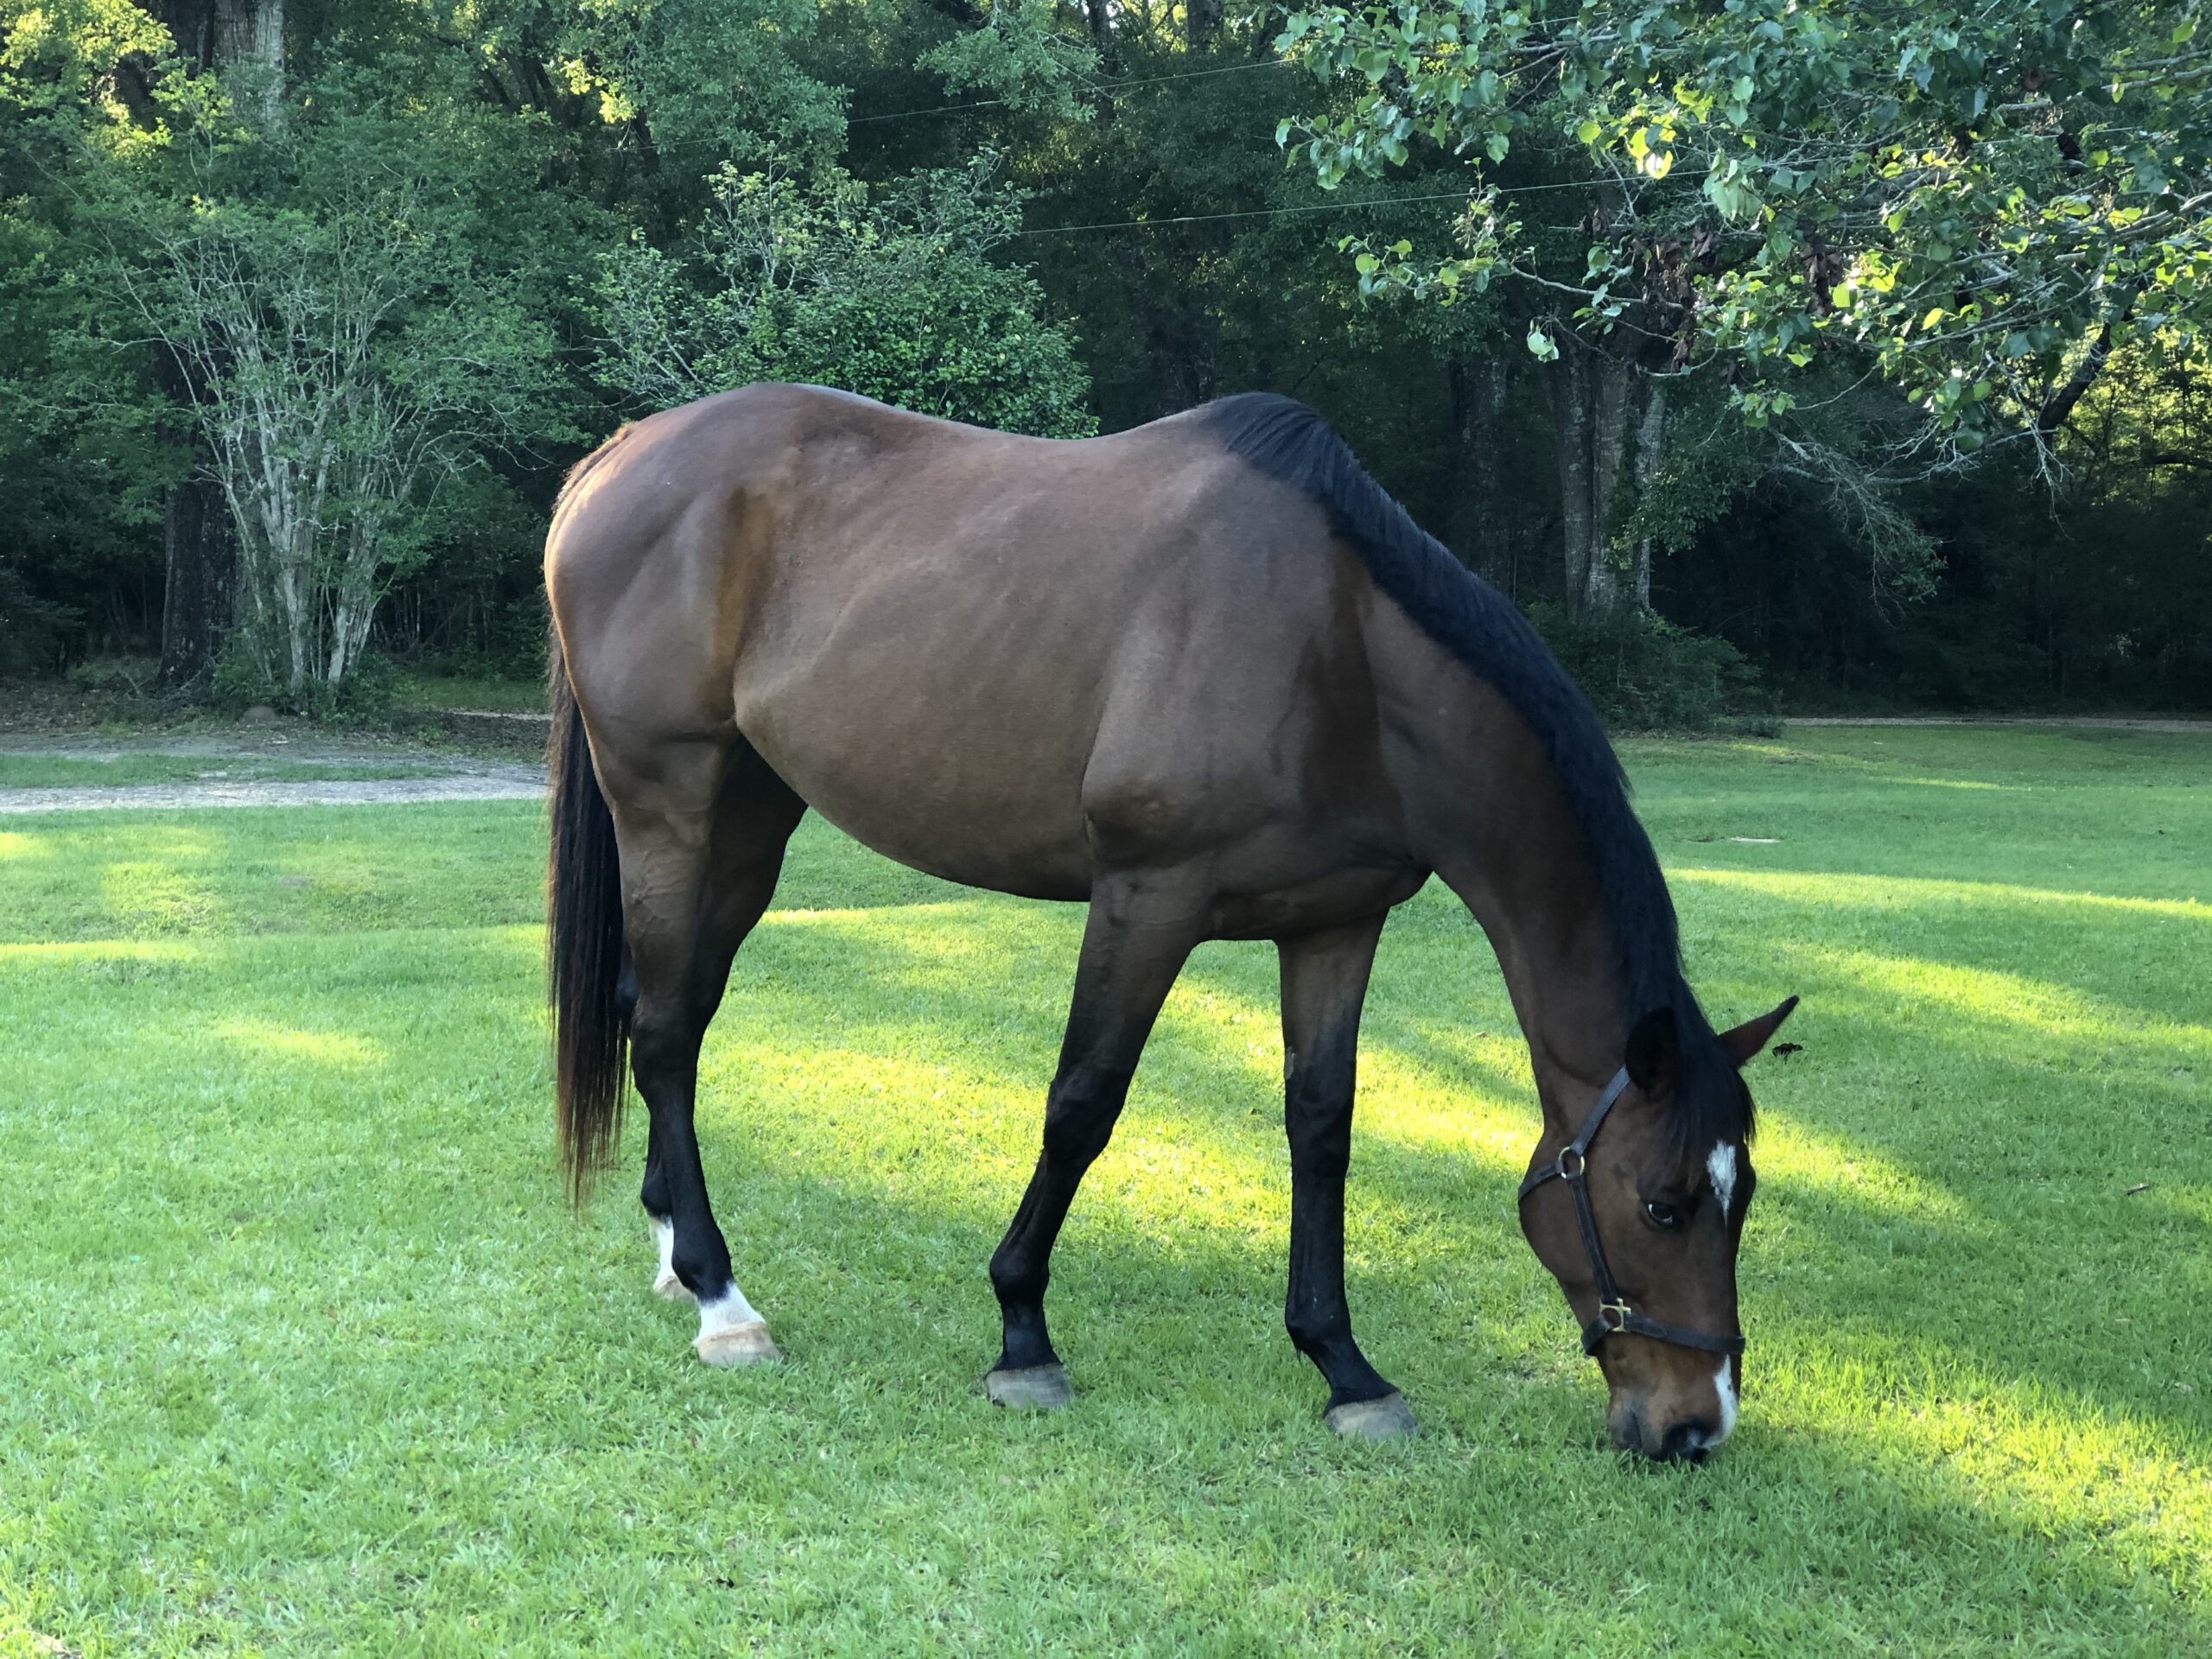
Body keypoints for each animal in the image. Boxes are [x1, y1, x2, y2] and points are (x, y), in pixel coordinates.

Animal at [539, 382, 1796, 1459]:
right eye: (1665, 1203)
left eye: (1743, 1199)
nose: (1697, 1425)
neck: (1340, 650)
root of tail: (623, 455)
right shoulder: (1148, 897)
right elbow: (1082, 1106)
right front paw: (1023, 1336)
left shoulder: (1335, 925)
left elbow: (1321, 1128)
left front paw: (1344, 1366)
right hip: (666, 802)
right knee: (663, 1035)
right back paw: (721, 1301)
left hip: (752, 815)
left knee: (674, 1016)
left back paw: (673, 1250)